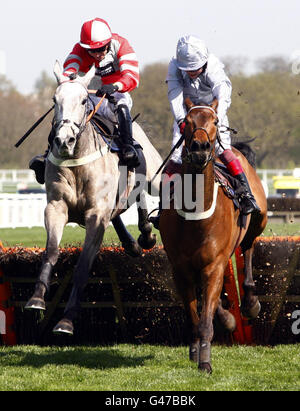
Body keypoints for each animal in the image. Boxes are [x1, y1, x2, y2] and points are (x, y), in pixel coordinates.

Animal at [25, 62, 162, 336]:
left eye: (82, 101)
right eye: (54, 100)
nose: (63, 140)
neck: (77, 160)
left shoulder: (95, 216)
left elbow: (83, 265)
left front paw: (66, 320)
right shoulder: (56, 208)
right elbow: (51, 251)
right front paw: (36, 299)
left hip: (155, 175)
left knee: (149, 193)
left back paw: (148, 233)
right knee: (122, 210)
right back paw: (134, 241)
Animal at [159, 98, 268, 374]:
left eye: (215, 121)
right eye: (186, 121)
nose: (200, 148)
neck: (195, 214)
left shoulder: (214, 264)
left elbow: (206, 319)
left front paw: (205, 361)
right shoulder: (181, 269)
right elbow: (195, 316)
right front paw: (196, 349)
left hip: (259, 220)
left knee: (248, 247)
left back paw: (250, 302)